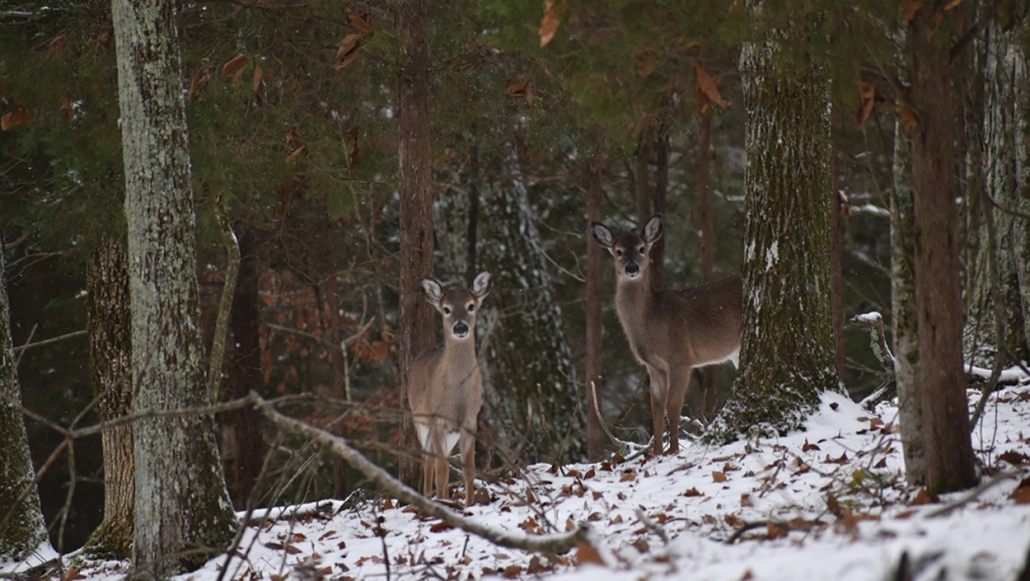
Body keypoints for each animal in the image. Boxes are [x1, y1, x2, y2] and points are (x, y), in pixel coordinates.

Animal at [405, 271, 490, 504]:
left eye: (471, 306)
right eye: (446, 309)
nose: (460, 328)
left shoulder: (470, 420)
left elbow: (469, 470)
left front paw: (469, 505)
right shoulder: (437, 420)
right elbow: (441, 472)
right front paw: (443, 504)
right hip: (420, 421)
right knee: (429, 462)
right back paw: (428, 498)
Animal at [589, 215, 741, 455]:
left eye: (642, 249)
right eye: (618, 251)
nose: (631, 267)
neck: (653, 320)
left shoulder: (680, 358)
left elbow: (673, 404)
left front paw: (673, 450)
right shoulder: (654, 366)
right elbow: (656, 407)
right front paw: (656, 451)